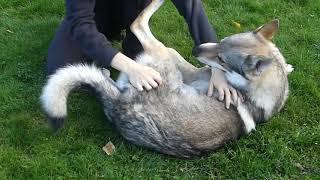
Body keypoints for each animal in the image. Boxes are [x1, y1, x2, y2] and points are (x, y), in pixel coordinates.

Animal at [41, 0, 294, 158]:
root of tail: (118, 105)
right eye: (221, 41)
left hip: (165, 53)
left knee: (138, 24)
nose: (195, 49)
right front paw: (288, 66)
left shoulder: (193, 70)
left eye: (222, 58)